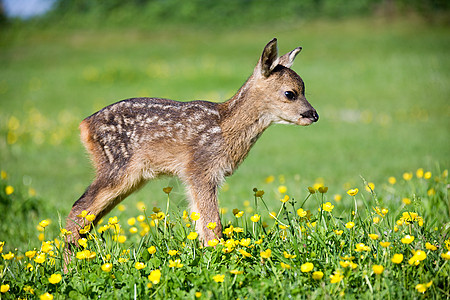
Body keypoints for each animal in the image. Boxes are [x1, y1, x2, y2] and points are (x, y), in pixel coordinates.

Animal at [66, 38, 320, 246]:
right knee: (78, 210)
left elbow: (202, 222)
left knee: (89, 218)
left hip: (131, 177)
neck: (225, 128)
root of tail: (84, 125)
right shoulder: (200, 168)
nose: (314, 115)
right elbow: (211, 223)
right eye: (290, 93)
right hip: (116, 166)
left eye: (304, 90)